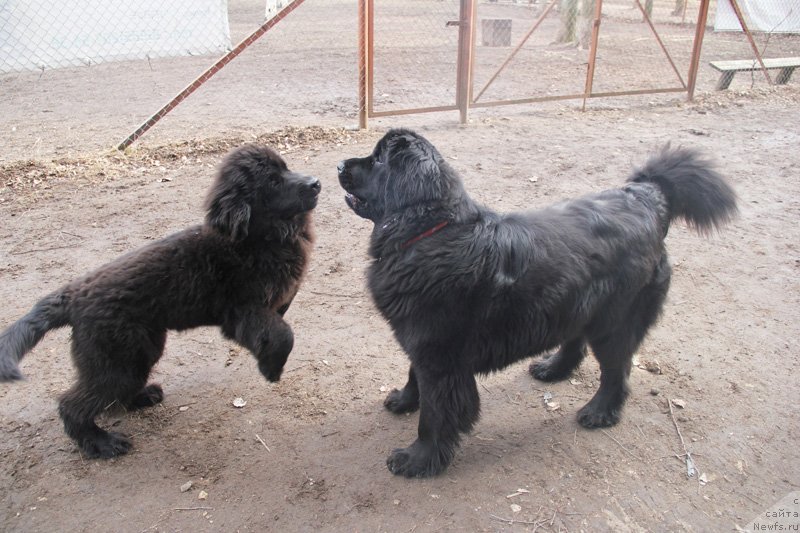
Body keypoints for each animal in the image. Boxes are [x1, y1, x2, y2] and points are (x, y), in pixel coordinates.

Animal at [0, 144, 318, 458]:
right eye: (273, 181)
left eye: (286, 168)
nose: (316, 183)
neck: (260, 237)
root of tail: (73, 294)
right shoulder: (242, 312)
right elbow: (283, 333)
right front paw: (271, 368)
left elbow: (282, 318)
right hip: (118, 358)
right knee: (72, 404)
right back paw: (101, 442)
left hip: (141, 349)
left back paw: (141, 397)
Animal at [338, 130, 736, 478]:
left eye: (377, 159)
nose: (340, 164)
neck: (429, 232)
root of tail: (647, 197)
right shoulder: (422, 341)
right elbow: (413, 375)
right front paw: (404, 401)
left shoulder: (440, 355)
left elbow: (435, 416)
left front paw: (417, 460)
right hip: (576, 302)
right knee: (576, 342)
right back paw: (553, 369)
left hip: (614, 322)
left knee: (616, 371)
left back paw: (599, 412)